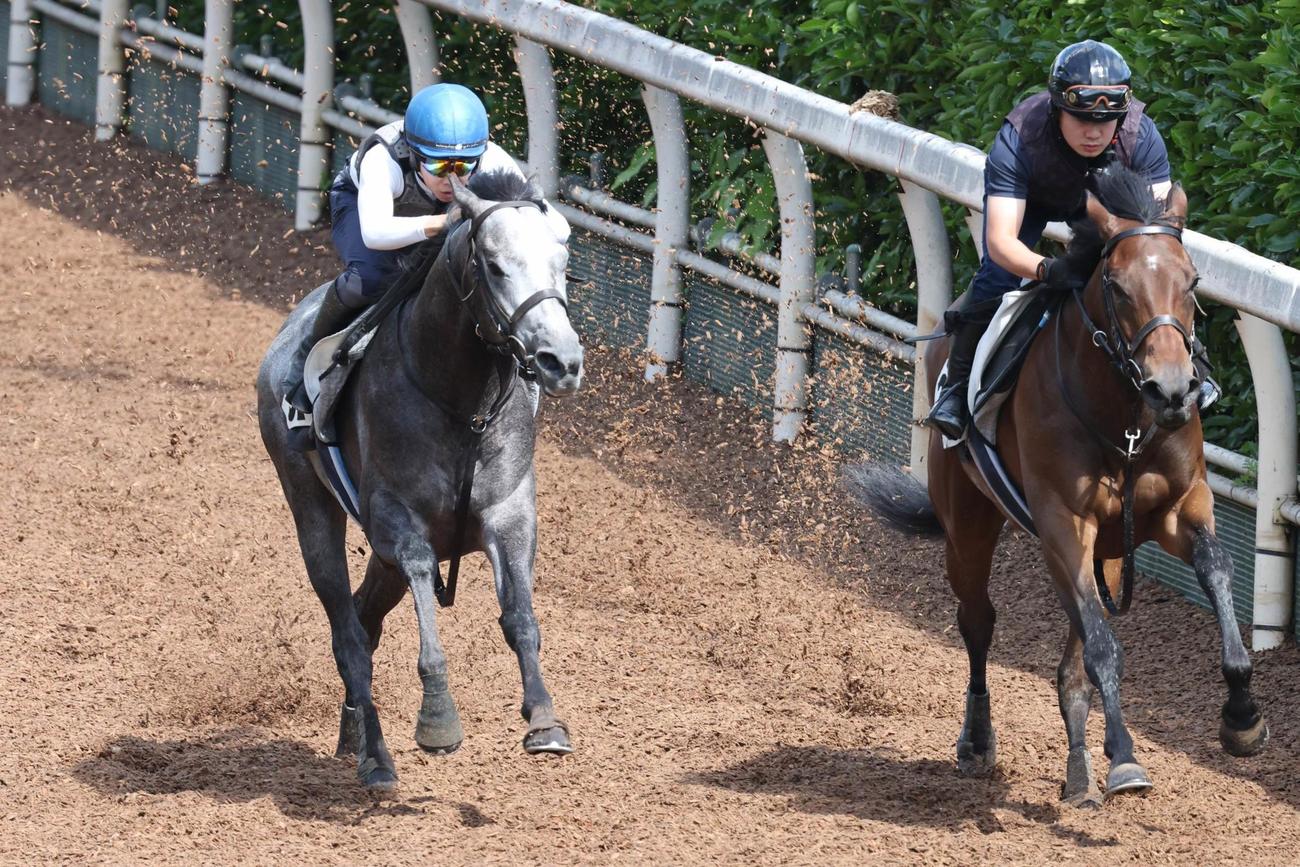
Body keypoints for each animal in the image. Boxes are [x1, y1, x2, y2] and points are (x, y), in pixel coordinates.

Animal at [256, 170, 584, 789]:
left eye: (564, 261)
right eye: (495, 265)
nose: (562, 360)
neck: (460, 401)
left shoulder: (509, 514)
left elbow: (521, 619)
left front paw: (545, 721)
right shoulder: (399, 526)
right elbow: (428, 631)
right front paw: (437, 720)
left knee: (363, 619)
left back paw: (355, 734)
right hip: (308, 503)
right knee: (348, 634)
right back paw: (376, 759)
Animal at [847, 167, 1267, 807]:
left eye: (1192, 282)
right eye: (1116, 286)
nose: (1172, 390)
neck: (1124, 422)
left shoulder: (1179, 507)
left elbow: (1218, 576)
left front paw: (1242, 718)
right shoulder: (1065, 525)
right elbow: (1103, 648)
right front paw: (1126, 758)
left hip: (1104, 554)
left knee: (1071, 662)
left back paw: (1079, 772)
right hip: (969, 525)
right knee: (979, 621)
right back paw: (978, 741)